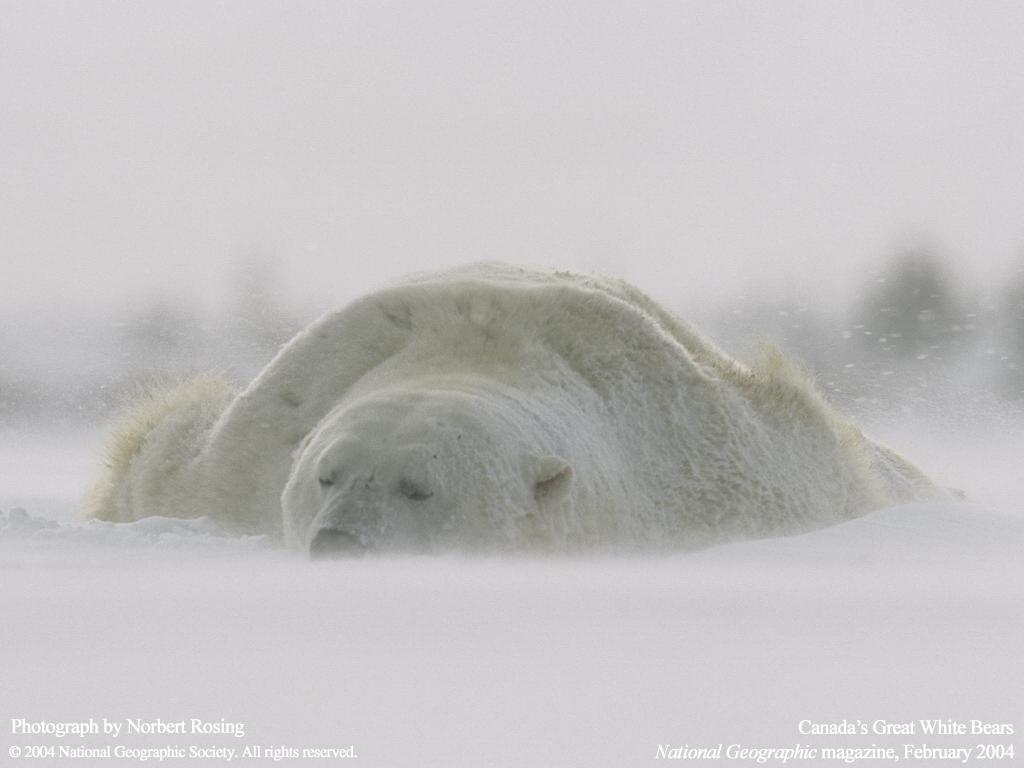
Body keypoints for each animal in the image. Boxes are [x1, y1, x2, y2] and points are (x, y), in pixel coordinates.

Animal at [88, 264, 942, 552]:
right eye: (326, 476)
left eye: (419, 487)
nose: (340, 544)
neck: (477, 346)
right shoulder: (239, 453)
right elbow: (154, 455)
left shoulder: (721, 479)